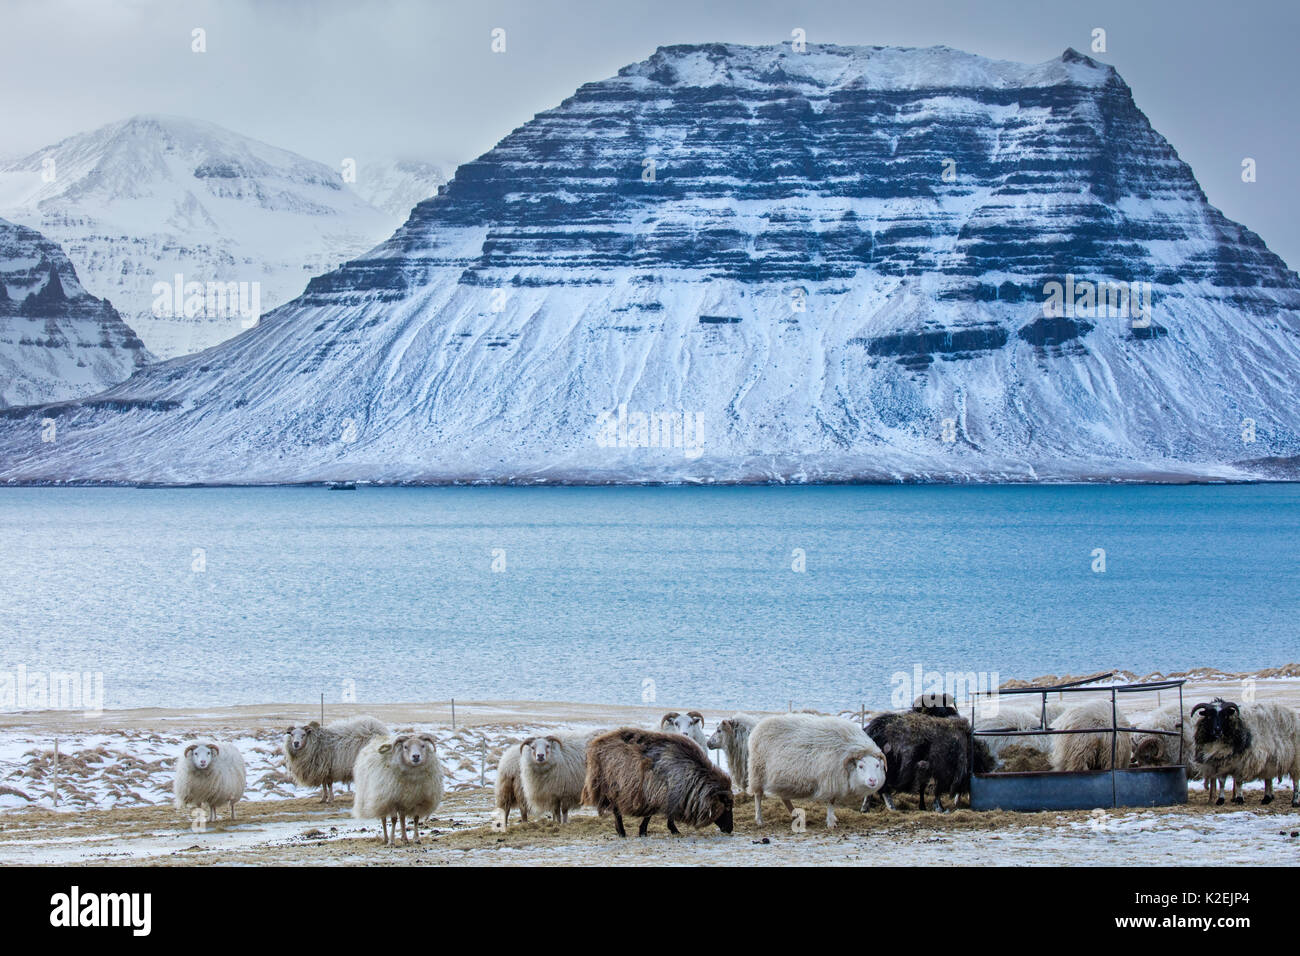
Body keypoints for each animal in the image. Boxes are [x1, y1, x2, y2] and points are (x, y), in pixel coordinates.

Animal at [748, 717, 889, 832]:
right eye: (861, 766)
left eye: (877, 765)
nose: (872, 780)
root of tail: (759, 726)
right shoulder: (831, 781)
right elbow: (831, 802)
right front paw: (831, 823)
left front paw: (832, 819)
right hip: (758, 772)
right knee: (758, 796)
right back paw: (759, 820)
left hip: (782, 778)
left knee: (784, 797)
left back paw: (795, 815)